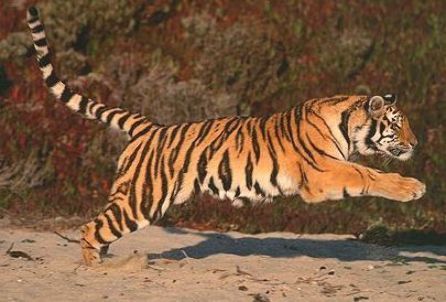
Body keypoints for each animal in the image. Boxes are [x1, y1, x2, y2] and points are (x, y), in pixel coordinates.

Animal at [26, 7, 426, 266]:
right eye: (396, 125)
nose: (417, 144)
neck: (346, 122)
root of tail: (148, 127)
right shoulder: (323, 173)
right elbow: (368, 173)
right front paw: (412, 188)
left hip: (137, 197)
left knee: (100, 226)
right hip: (142, 200)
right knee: (91, 227)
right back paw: (96, 268)